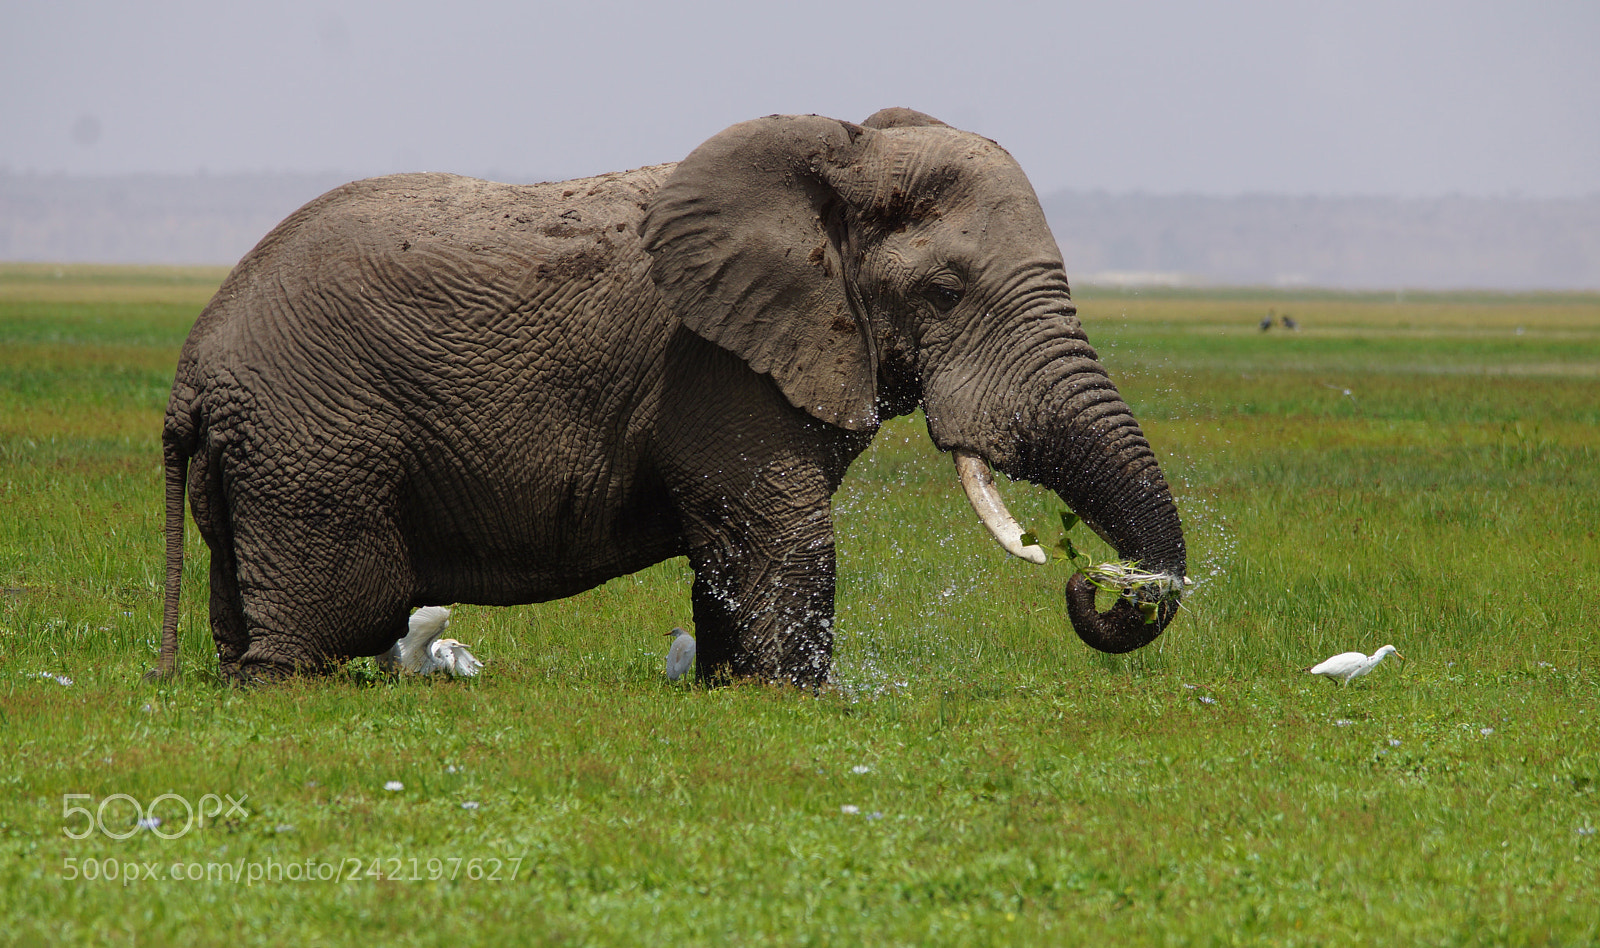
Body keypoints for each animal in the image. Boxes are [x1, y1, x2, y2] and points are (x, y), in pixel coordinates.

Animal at [152, 107, 1187, 686]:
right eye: (944, 292)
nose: (1086, 578)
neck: (842, 154)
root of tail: (192, 369)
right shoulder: (716, 362)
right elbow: (782, 537)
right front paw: (796, 699)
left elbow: (740, 546)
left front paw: (728, 689)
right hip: (313, 449)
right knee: (343, 610)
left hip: (261, 456)